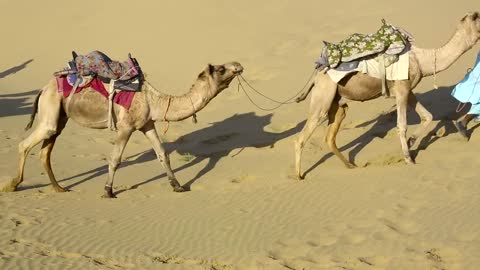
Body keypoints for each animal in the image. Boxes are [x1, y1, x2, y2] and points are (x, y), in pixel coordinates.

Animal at [1, 61, 244, 197]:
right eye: (221, 69)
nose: (238, 65)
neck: (154, 100)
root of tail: (43, 89)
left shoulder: (147, 124)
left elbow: (162, 154)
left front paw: (178, 186)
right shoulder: (126, 126)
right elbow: (115, 158)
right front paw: (108, 191)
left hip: (60, 117)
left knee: (46, 150)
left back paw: (59, 188)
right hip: (50, 109)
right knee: (25, 144)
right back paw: (12, 185)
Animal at [292, 11, 480, 178]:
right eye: (476, 17)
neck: (422, 60)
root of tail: (317, 73)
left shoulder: (408, 89)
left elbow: (428, 116)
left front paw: (412, 141)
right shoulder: (402, 89)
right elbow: (402, 125)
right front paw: (408, 159)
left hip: (336, 100)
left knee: (332, 132)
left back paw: (351, 166)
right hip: (323, 95)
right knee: (303, 136)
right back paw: (299, 175)